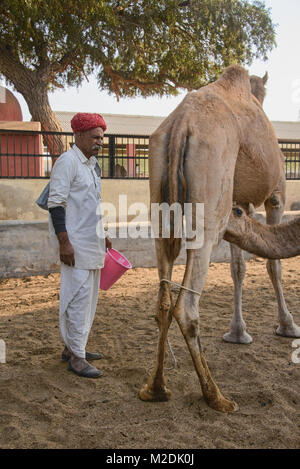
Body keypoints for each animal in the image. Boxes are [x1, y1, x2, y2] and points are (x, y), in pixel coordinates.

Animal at [139, 64, 300, 412]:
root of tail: (181, 124)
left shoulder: (238, 203)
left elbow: (238, 267)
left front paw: (238, 332)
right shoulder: (276, 195)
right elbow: (273, 265)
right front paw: (288, 326)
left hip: (161, 199)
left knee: (163, 296)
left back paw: (155, 388)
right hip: (212, 197)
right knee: (186, 306)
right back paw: (217, 396)